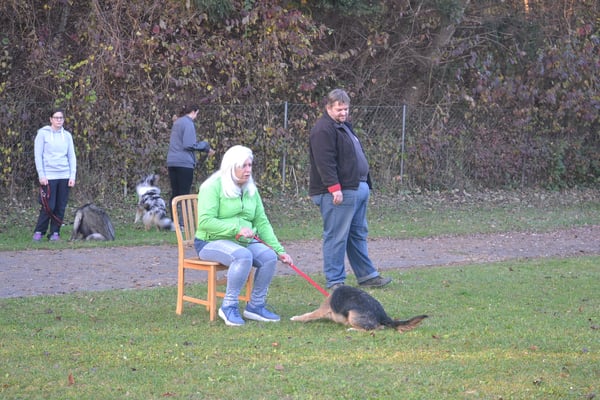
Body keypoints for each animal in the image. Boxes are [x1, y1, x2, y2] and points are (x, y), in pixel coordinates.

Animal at [290, 285, 428, 332]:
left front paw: (296, 318)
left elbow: (307, 315)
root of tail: (383, 315)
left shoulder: (321, 310)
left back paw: (352, 329)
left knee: (375, 328)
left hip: (353, 315)